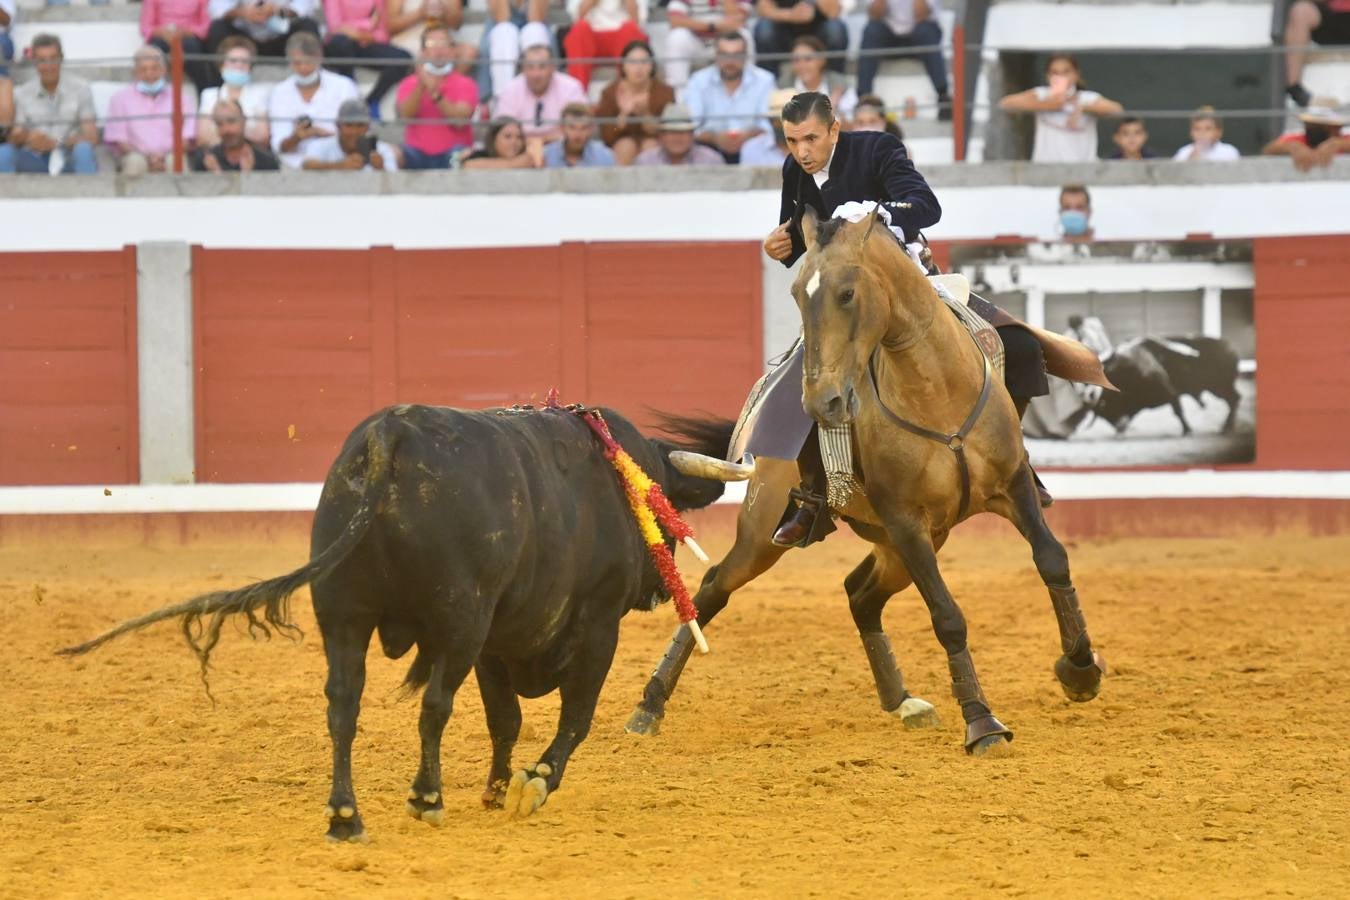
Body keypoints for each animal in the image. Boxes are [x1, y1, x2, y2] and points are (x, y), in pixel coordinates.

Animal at [56, 404, 729, 841]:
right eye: (664, 508)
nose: (655, 589)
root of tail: (390, 434)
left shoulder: (496, 641)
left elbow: (505, 718)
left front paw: (496, 788)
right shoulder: (588, 624)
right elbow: (573, 717)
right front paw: (529, 785)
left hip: (345, 616)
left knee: (342, 705)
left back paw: (345, 817)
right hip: (458, 619)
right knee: (433, 705)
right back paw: (425, 798)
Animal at [626, 211, 1101, 755]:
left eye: (848, 292)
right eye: (795, 292)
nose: (822, 401)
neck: (936, 390)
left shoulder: (1012, 486)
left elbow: (1052, 559)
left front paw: (1081, 670)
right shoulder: (906, 520)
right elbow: (947, 614)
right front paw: (982, 722)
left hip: (908, 542)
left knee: (860, 594)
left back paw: (904, 701)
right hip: (768, 534)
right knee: (713, 588)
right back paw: (649, 703)